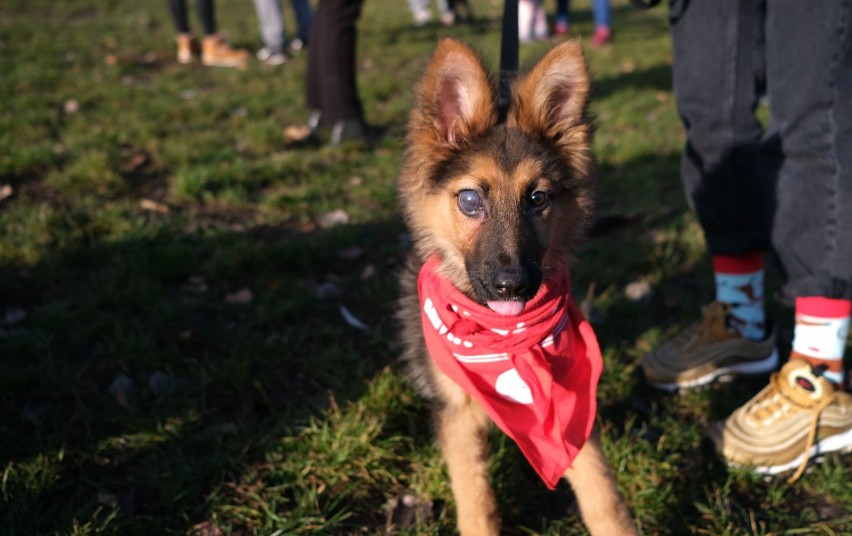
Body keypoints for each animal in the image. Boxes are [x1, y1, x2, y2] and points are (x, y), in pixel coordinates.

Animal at [396, 38, 636, 536]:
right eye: (471, 200)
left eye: (538, 199)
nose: (512, 286)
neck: (503, 342)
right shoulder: (458, 417)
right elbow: (476, 499)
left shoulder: (571, 412)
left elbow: (601, 490)